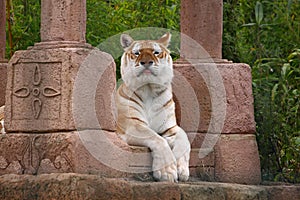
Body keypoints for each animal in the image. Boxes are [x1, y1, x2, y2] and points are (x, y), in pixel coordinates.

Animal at [116, 32, 191, 182]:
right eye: (137, 53)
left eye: (156, 52)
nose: (146, 62)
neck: (149, 89)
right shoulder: (133, 124)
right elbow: (157, 139)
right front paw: (167, 172)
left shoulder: (170, 127)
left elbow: (185, 141)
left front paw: (182, 170)